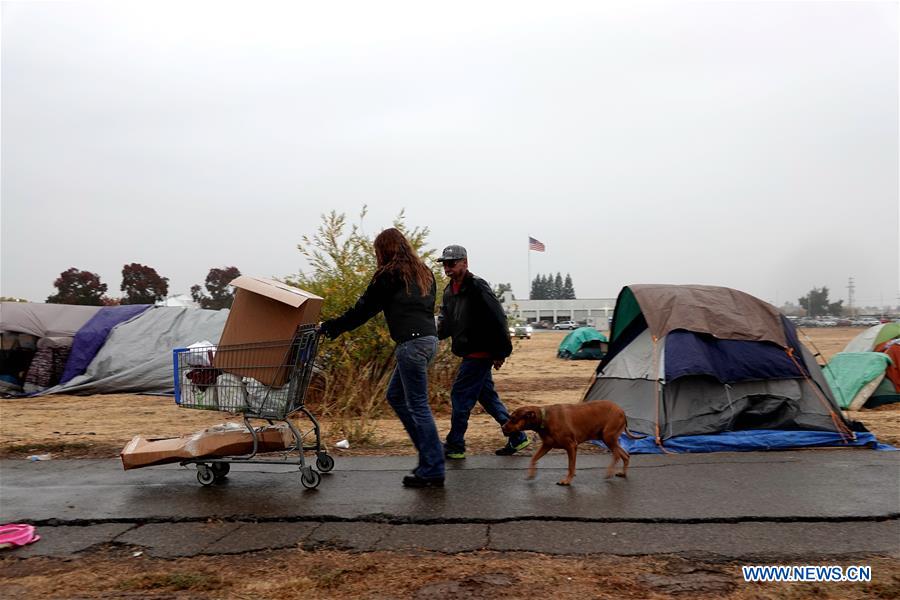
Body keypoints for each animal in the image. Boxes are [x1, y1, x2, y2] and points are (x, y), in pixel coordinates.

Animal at [502, 400, 644, 486]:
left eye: (513, 419)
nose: (502, 427)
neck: (544, 418)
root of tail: (622, 411)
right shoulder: (547, 445)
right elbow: (533, 459)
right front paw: (531, 474)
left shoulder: (571, 446)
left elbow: (571, 466)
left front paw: (567, 480)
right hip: (608, 438)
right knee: (625, 455)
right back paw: (623, 473)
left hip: (608, 437)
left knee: (616, 455)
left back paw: (609, 472)